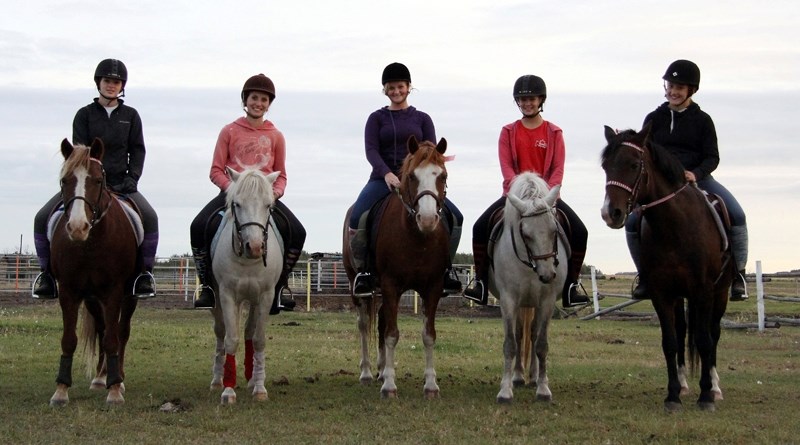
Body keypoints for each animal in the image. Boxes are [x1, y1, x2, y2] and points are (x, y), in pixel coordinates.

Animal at [50, 139, 141, 406]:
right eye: (64, 180)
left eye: (99, 180)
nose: (77, 227)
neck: (89, 244)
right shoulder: (68, 291)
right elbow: (69, 339)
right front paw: (61, 389)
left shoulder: (114, 291)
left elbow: (113, 338)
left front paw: (115, 390)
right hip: (91, 299)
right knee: (102, 328)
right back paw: (101, 377)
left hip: (129, 296)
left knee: (121, 331)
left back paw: (117, 377)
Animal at [208, 168, 282, 404]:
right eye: (237, 204)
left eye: (268, 205)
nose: (256, 247)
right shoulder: (227, 295)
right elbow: (231, 339)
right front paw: (228, 390)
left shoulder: (266, 296)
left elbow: (258, 340)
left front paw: (259, 388)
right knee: (220, 332)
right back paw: (217, 379)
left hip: (254, 300)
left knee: (249, 333)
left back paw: (251, 377)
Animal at [344, 135, 454, 398]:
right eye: (412, 176)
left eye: (442, 175)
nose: (427, 219)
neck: (417, 238)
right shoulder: (391, 285)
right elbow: (392, 334)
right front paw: (389, 387)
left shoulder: (433, 288)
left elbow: (428, 335)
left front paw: (431, 385)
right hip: (357, 286)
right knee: (364, 324)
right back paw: (367, 373)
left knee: (382, 319)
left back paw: (382, 370)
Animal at [488, 172, 568, 404]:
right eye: (526, 233)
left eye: (554, 230)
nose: (547, 275)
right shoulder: (508, 300)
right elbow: (510, 343)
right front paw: (505, 390)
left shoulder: (547, 301)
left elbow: (541, 344)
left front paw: (543, 389)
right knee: (520, 334)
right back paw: (518, 376)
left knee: (532, 334)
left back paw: (532, 377)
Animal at [596, 123, 736, 412]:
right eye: (605, 166)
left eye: (634, 164)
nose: (610, 213)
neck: (675, 227)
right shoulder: (662, 294)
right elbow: (670, 342)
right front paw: (672, 395)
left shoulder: (704, 291)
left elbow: (704, 341)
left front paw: (706, 396)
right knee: (683, 332)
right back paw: (683, 385)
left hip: (721, 292)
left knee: (714, 333)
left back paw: (715, 387)